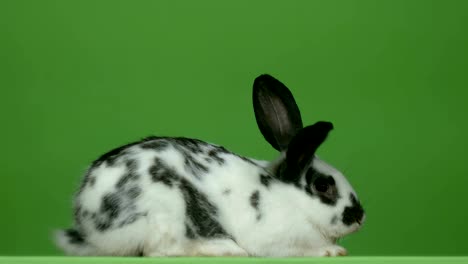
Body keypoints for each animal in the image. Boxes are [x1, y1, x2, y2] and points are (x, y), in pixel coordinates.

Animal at [54, 74, 366, 258]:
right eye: (322, 186)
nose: (360, 216)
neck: (290, 200)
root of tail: (88, 228)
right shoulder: (276, 239)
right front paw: (331, 252)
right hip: (165, 210)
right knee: (164, 251)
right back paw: (224, 248)